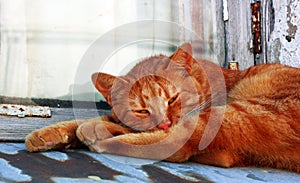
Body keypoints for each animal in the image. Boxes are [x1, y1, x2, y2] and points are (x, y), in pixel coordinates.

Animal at [25, 43, 300, 173]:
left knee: (176, 144)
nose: (164, 121)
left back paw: (102, 137)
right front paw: (48, 134)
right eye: (142, 111)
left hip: (245, 111)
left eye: (172, 98)